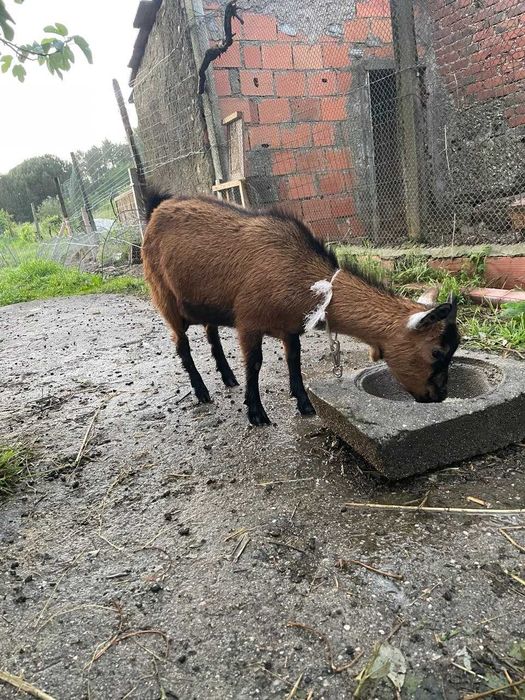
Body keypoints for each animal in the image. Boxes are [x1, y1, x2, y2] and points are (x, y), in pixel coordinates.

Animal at [141, 193, 460, 425]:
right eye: (437, 352)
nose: (440, 395)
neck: (299, 274)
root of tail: (157, 208)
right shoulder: (249, 321)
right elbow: (255, 364)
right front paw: (256, 414)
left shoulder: (289, 327)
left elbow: (294, 361)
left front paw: (305, 405)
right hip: (164, 297)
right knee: (182, 345)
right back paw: (202, 391)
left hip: (206, 303)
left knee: (211, 334)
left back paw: (228, 377)